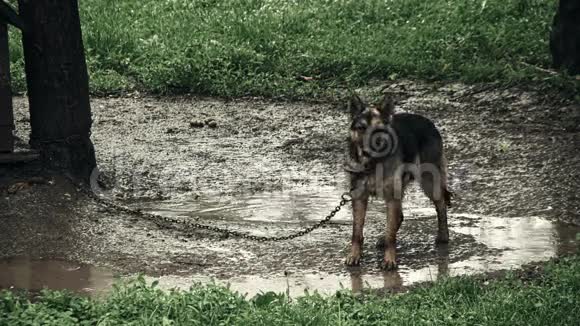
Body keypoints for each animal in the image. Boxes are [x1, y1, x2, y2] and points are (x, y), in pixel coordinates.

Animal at [342, 93, 450, 270]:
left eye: (378, 131)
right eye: (361, 128)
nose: (367, 151)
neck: (373, 165)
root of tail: (427, 121)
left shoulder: (391, 198)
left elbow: (391, 235)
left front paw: (389, 259)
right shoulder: (359, 198)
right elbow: (356, 232)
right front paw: (354, 255)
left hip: (429, 182)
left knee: (441, 205)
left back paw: (443, 235)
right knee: (399, 217)